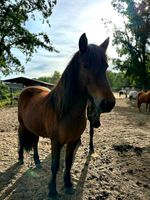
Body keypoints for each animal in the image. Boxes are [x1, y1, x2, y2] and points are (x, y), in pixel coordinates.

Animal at [17, 33, 116, 198]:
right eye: (86, 65)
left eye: (106, 67)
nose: (108, 103)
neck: (67, 113)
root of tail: (27, 89)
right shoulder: (56, 142)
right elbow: (55, 165)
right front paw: (52, 191)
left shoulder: (73, 141)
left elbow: (68, 164)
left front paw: (68, 185)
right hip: (22, 125)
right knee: (20, 140)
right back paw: (20, 158)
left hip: (34, 127)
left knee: (35, 142)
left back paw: (37, 161)